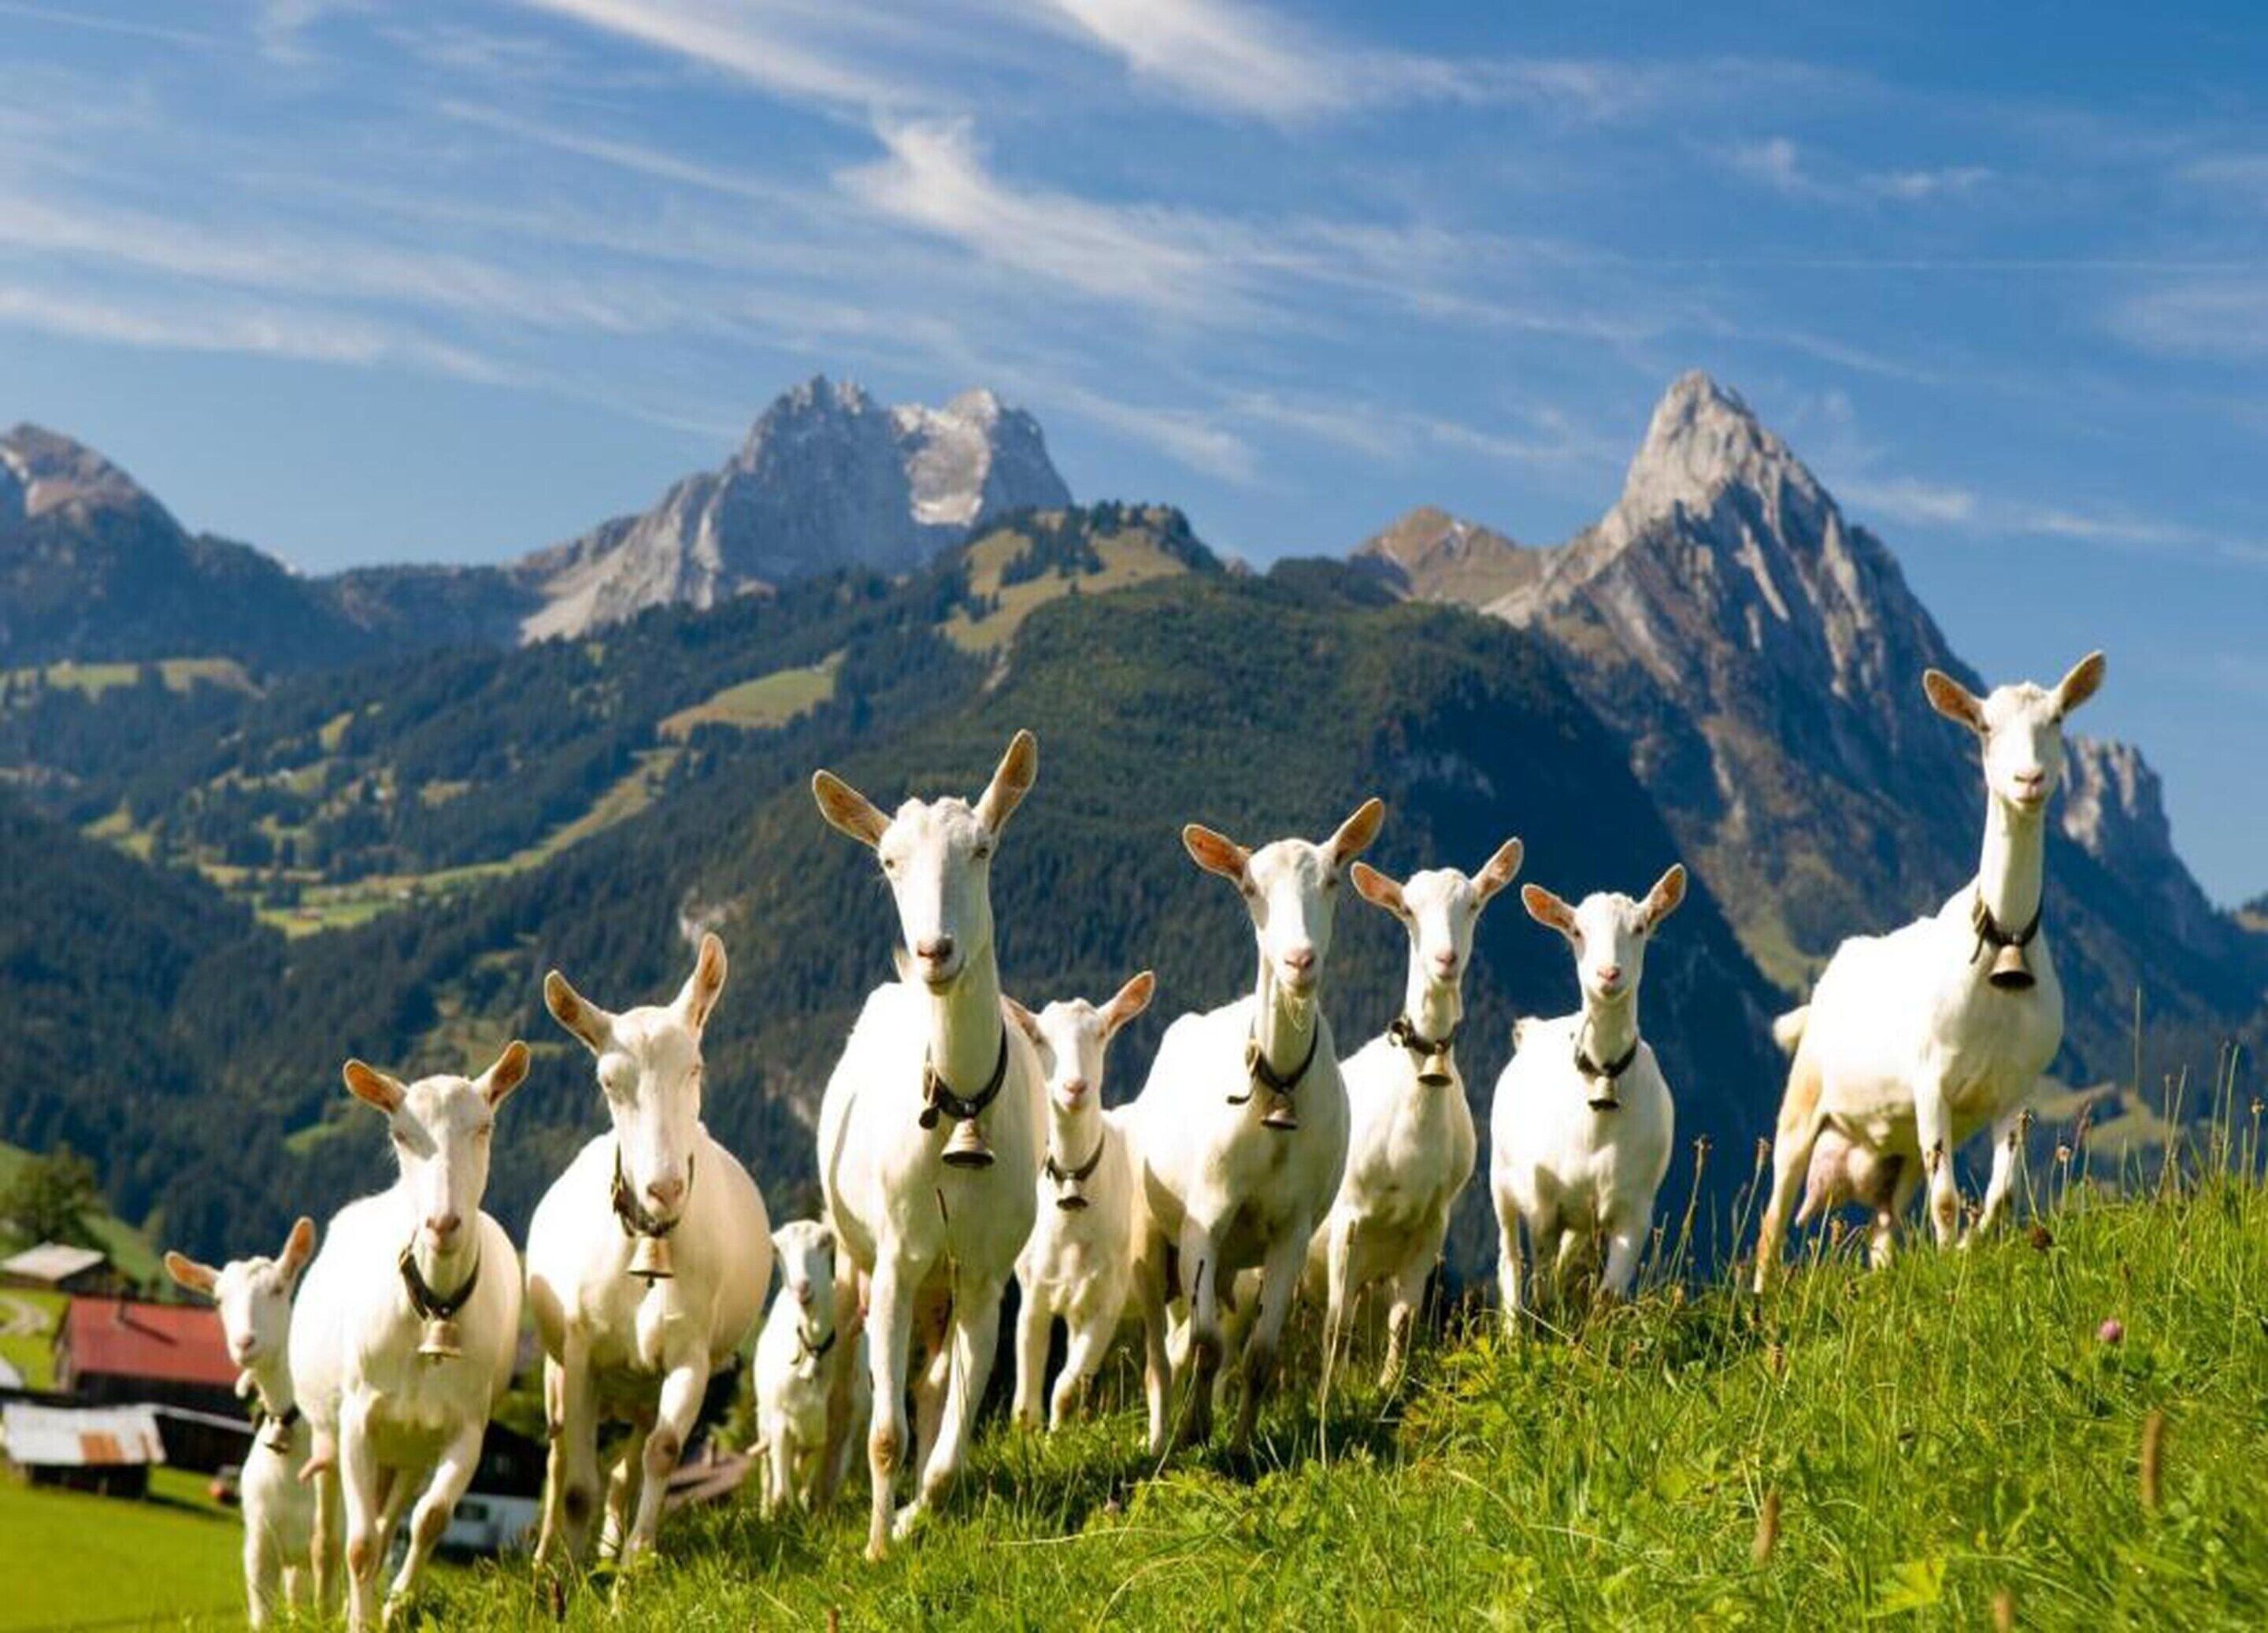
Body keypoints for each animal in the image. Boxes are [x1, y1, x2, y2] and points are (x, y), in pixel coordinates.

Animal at [1491, 866, 1687, 1319]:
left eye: (1640, 927)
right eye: (1577, 931)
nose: (1608, 974)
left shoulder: (1633, 1211)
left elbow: (1607, 1296)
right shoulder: (1543, 1206)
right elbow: (1542, 1285)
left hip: (1586, 1218)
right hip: (1501, 1181)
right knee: (1509, 1261)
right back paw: (1511, 1325)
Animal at [1753, 653, 2106, 1289]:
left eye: (2058, 718)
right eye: (1985, 727)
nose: (2029, 780)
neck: (2002, 938)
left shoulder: (2015, 1092)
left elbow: (2000, 1196)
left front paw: (1967, 1249)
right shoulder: (1931, 1080)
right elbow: (1945, 1201)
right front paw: (1951, 1265)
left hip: (1897, 1151)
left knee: (1883, 1227)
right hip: (1803, 1104)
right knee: (1772, 1220)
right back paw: (1761, 1295)